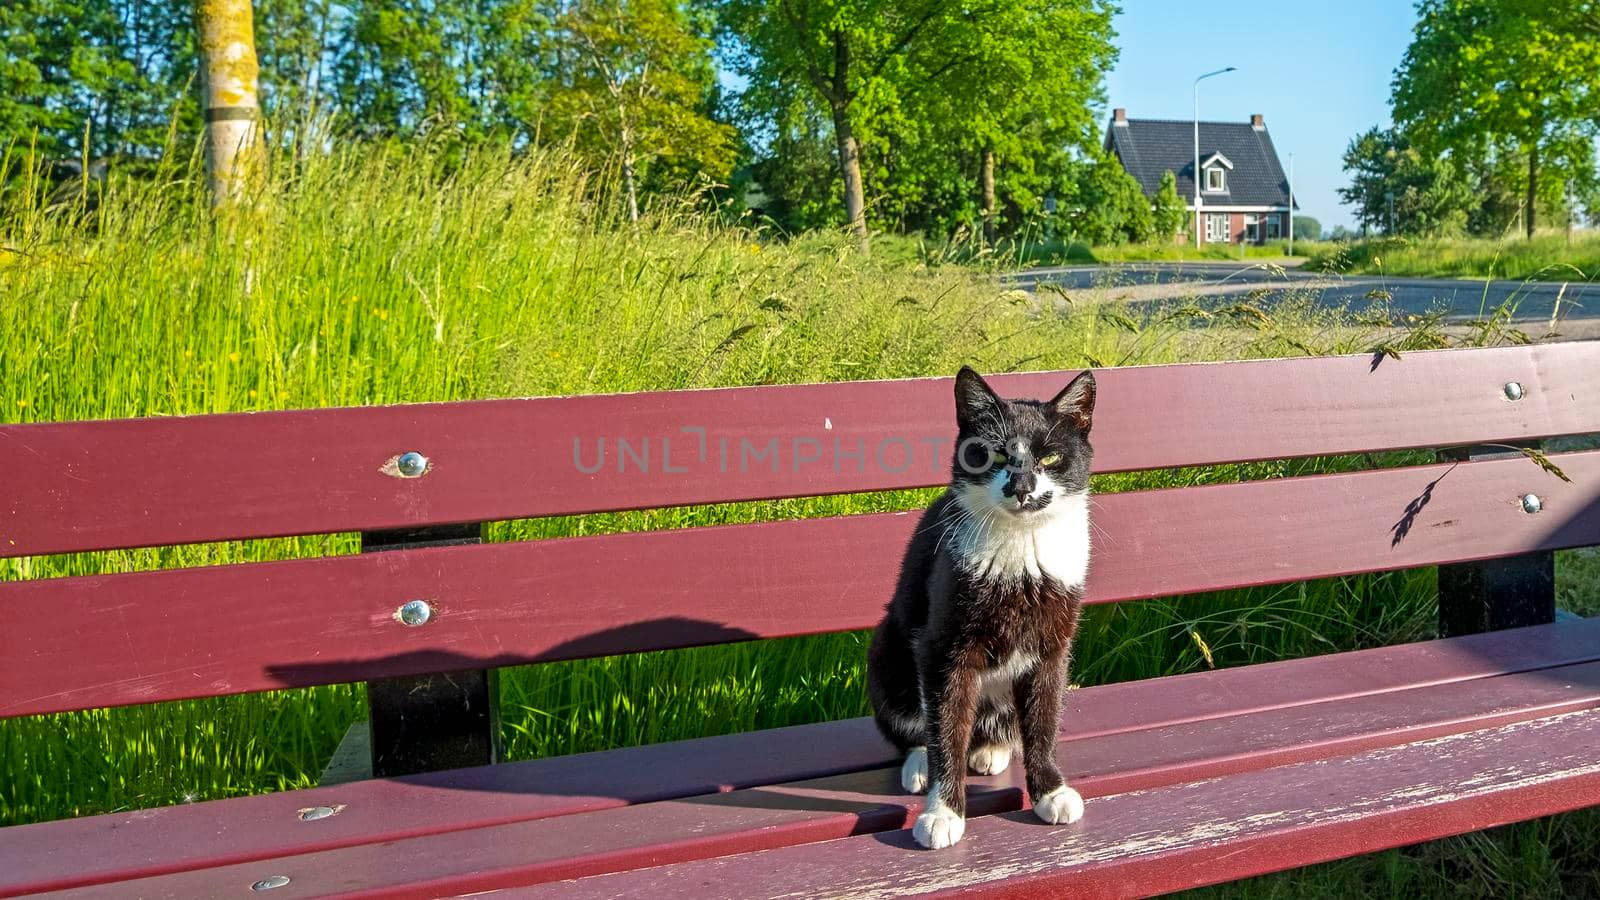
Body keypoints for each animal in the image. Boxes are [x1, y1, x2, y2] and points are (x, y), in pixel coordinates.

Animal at [870, 365, 1094, 845]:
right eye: (992, 454)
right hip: (885, 652)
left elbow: (1043, 719)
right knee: (919, 727)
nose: (1022, 487)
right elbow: (946, 727)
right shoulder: (941, 647)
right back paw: (919, 763)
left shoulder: (1054, 644)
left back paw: (992, 748)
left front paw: (1051, 790)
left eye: (1050, 459)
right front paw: (943, 811)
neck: (1021, 550)